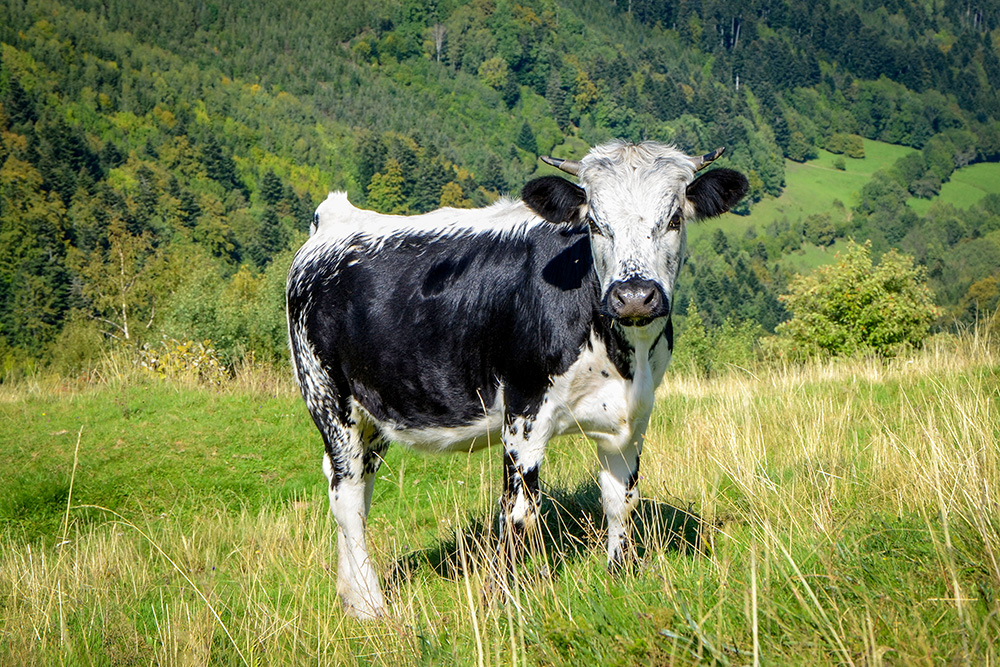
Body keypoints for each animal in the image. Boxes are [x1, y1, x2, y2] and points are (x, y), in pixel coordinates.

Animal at [286, 140, 748, 619]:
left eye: (674, 219)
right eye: (595, 224)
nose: (635, 296)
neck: (625, 357)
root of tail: (335, 218)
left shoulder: (632, 418)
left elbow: (622, 501)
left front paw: (620, 577)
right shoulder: (523, 411)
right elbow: (521, 510)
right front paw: (499, 600)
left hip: (375, 411)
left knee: (357, 485)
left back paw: (350, 592)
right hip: (327, 397)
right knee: (347, 494)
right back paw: (369, 604)